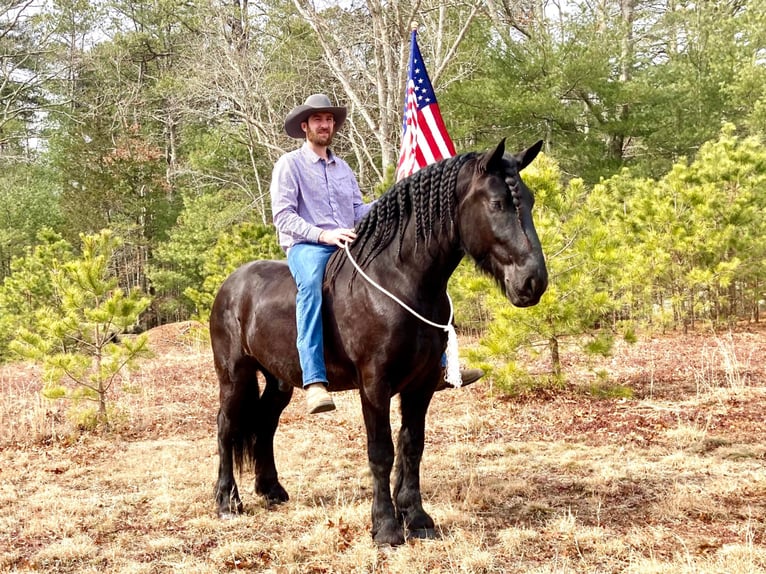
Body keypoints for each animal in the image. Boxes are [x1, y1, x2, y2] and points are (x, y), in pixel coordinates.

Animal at [210, 140, 544, 548]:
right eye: (496, 204)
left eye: (529, 200)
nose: (533, 281)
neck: (398, 282)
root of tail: (230, 284)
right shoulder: (374, 384)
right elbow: (382, 450)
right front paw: (385, 526)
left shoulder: (421, 386)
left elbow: (412, 446)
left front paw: (417, 518)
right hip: (234, 375)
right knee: (226, 426)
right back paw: (227, 501)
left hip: (280, 380)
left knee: (265, 423)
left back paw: (271, 490)